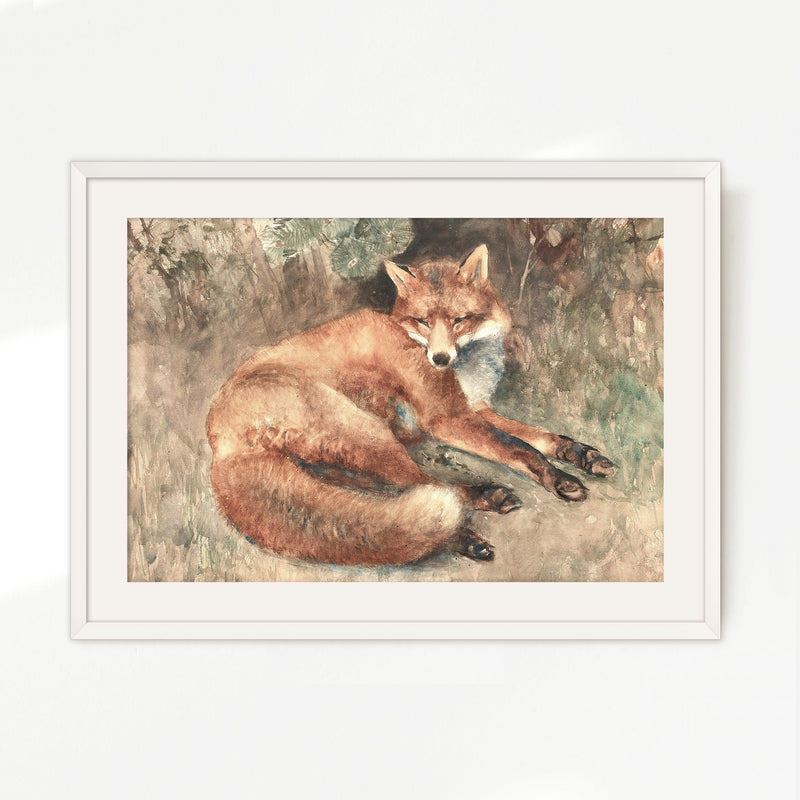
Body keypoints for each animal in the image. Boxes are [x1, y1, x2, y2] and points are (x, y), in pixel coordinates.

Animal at [206, 244, 616, 566]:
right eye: (423, 321)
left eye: (459, 319)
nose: (438, 358)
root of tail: (217, 441)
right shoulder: (448, 419)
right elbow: (521, 449)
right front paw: (560, 480)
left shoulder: (474, 408)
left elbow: (540, 438)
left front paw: (581, 454)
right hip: (368, 432)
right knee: (427, 485)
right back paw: (474, 517)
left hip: (346, 458)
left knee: (388, 490)